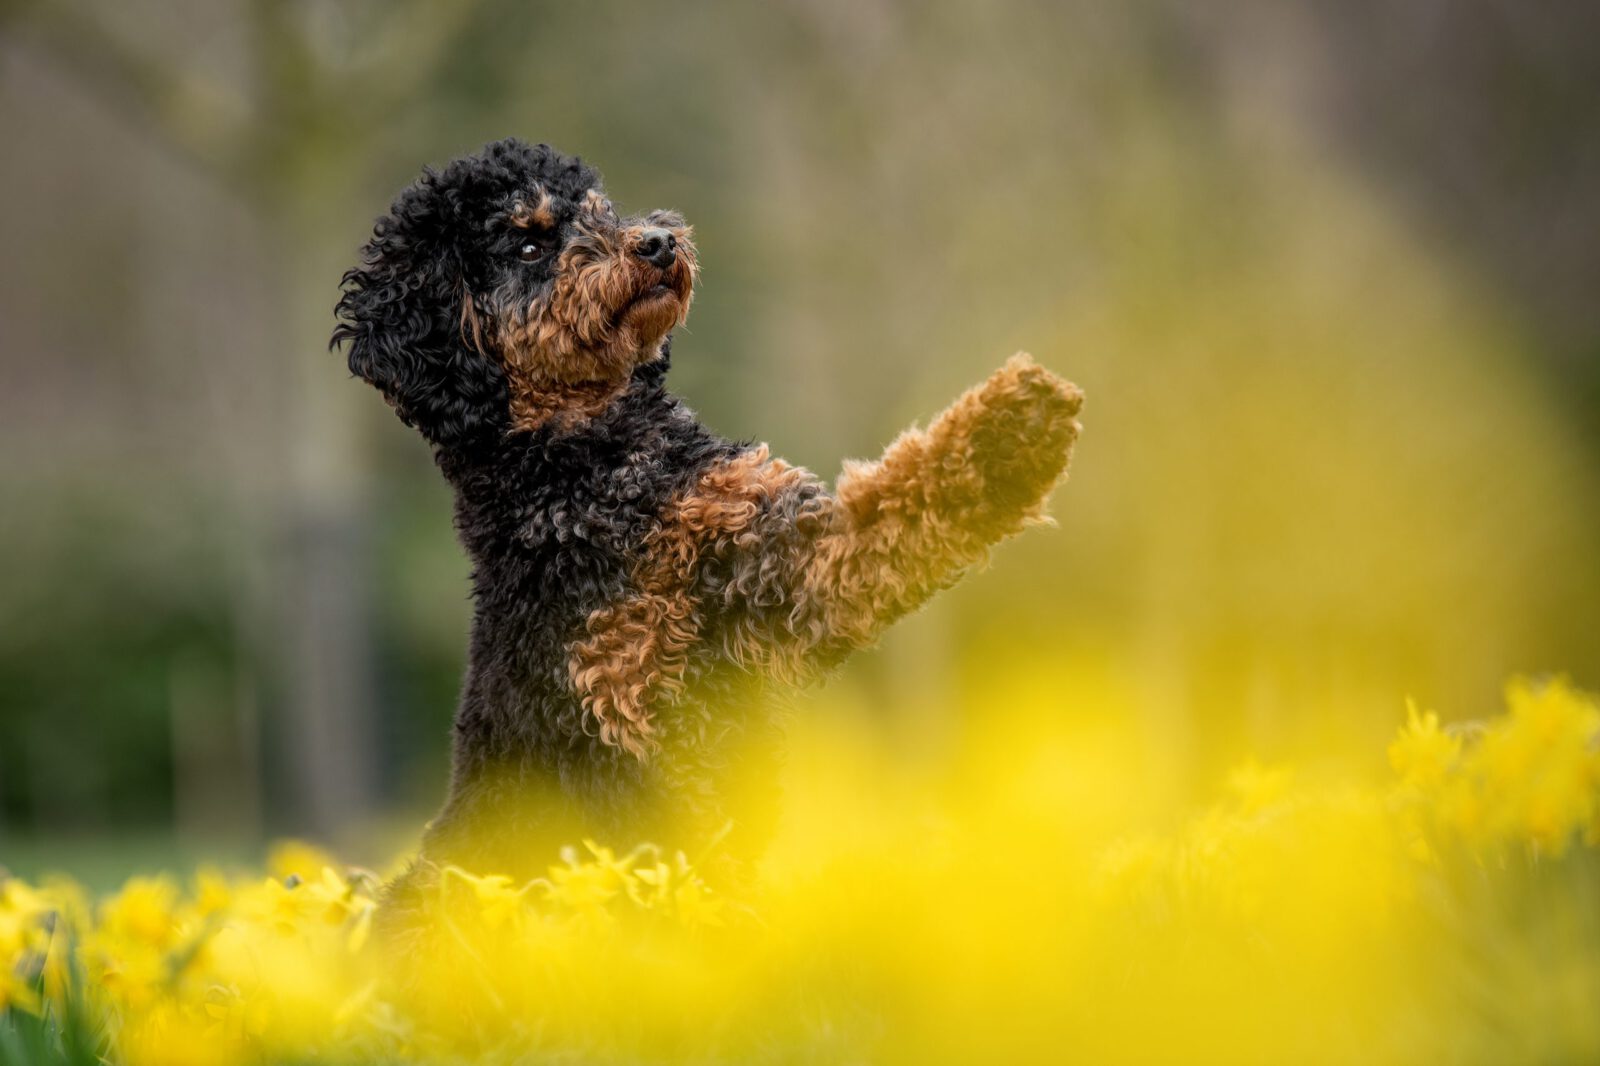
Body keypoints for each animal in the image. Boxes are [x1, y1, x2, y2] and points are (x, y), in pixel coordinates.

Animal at [337, 139, 1088, 889]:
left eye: (599, 209)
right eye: (527, 243)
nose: (658, 241)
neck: (603, 464)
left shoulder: (789, 565)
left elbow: (892, 512)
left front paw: (1014, 428)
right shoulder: (635, 706)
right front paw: (1010, 422)